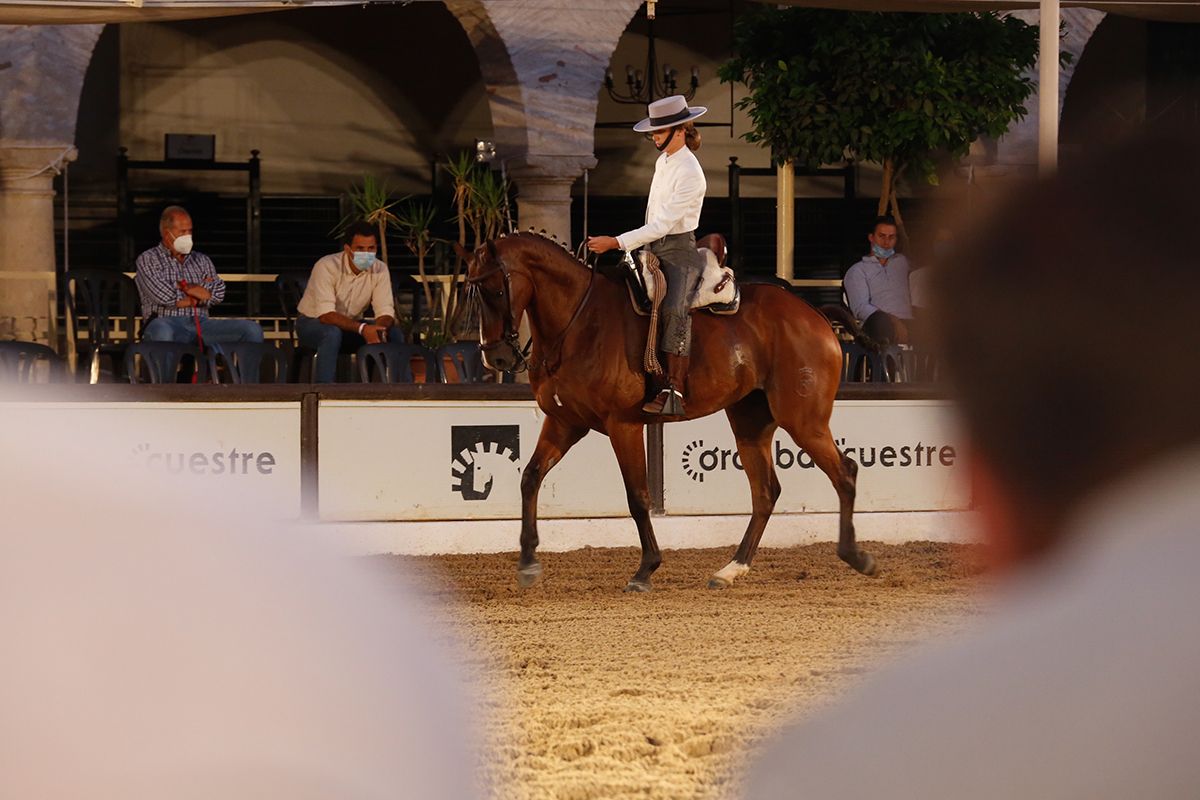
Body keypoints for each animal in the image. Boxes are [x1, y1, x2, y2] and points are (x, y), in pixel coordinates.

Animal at [453, 232, 878, 594]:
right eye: (472, 292)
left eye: (495, 290)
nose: (496, 358)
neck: (580, 322)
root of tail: (813, 314)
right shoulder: (565, 423)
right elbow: (530, 478)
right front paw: (527, 561)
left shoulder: (623, 426)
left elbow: (638, 497)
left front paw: (645, 569)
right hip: (750, 422)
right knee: (766, 491)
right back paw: (731, 569)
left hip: (804, 420)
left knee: (844, 473)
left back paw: (857, 556)